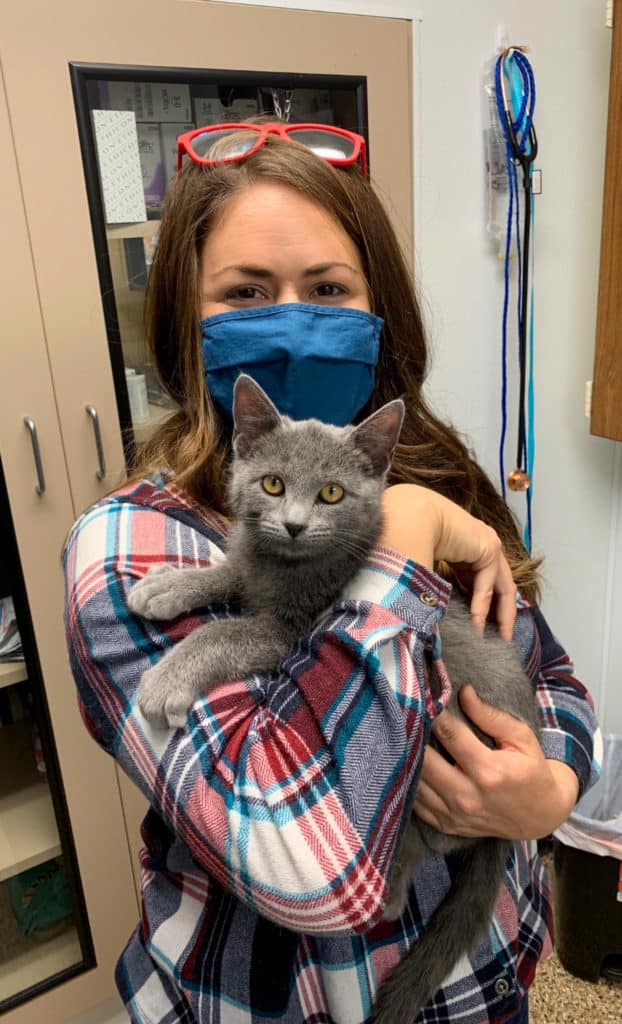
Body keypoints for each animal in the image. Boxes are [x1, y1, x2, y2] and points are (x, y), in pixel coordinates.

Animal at [130, 376, 541, 1024]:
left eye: (331, 493)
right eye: (273, 483)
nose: (296, 525)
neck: (287, 568)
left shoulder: (292, 633)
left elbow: (230, 632)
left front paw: (170, 675)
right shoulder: (256, 569)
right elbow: (233, 571)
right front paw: (172, 584)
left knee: (411, 856)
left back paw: (388, 892)